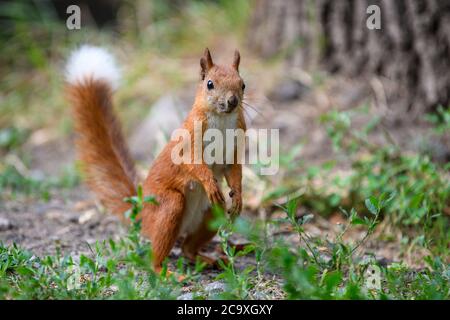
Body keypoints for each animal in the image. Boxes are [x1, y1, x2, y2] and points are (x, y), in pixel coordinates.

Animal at [66, 45, 246, 272]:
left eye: (243, 84)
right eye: (210, 84)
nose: (232, 101)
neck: (222, 120)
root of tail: (141, 210)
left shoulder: (235, 146)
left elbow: (234, 172)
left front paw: (238, 197)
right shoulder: (187, 139)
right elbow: (192, 162)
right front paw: (209, 182)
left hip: (212, 212)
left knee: (188, 248)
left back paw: (209, 259)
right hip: (168, 206)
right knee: (159, 251)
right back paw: (166, 272)